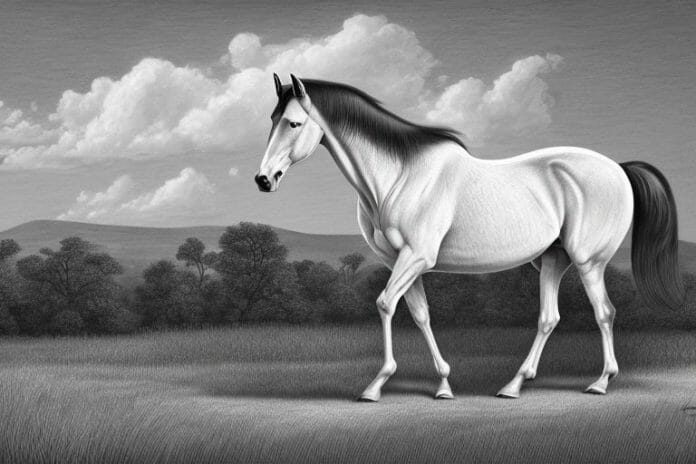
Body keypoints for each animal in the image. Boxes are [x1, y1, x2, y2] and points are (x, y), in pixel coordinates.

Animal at [255, 73, 684, 402]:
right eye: (272, 118)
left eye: (293, 123)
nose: (263, 179)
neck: (398, 176)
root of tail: (619, 168)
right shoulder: (402, 261)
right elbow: (420, 314)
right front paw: (444, 385)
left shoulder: (417, 257)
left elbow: (384, 304)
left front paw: (375, 386)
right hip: (552, 259)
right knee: (549, 318)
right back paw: (513, 385)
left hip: (588, 261)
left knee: (605, 313)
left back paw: (600, 383)